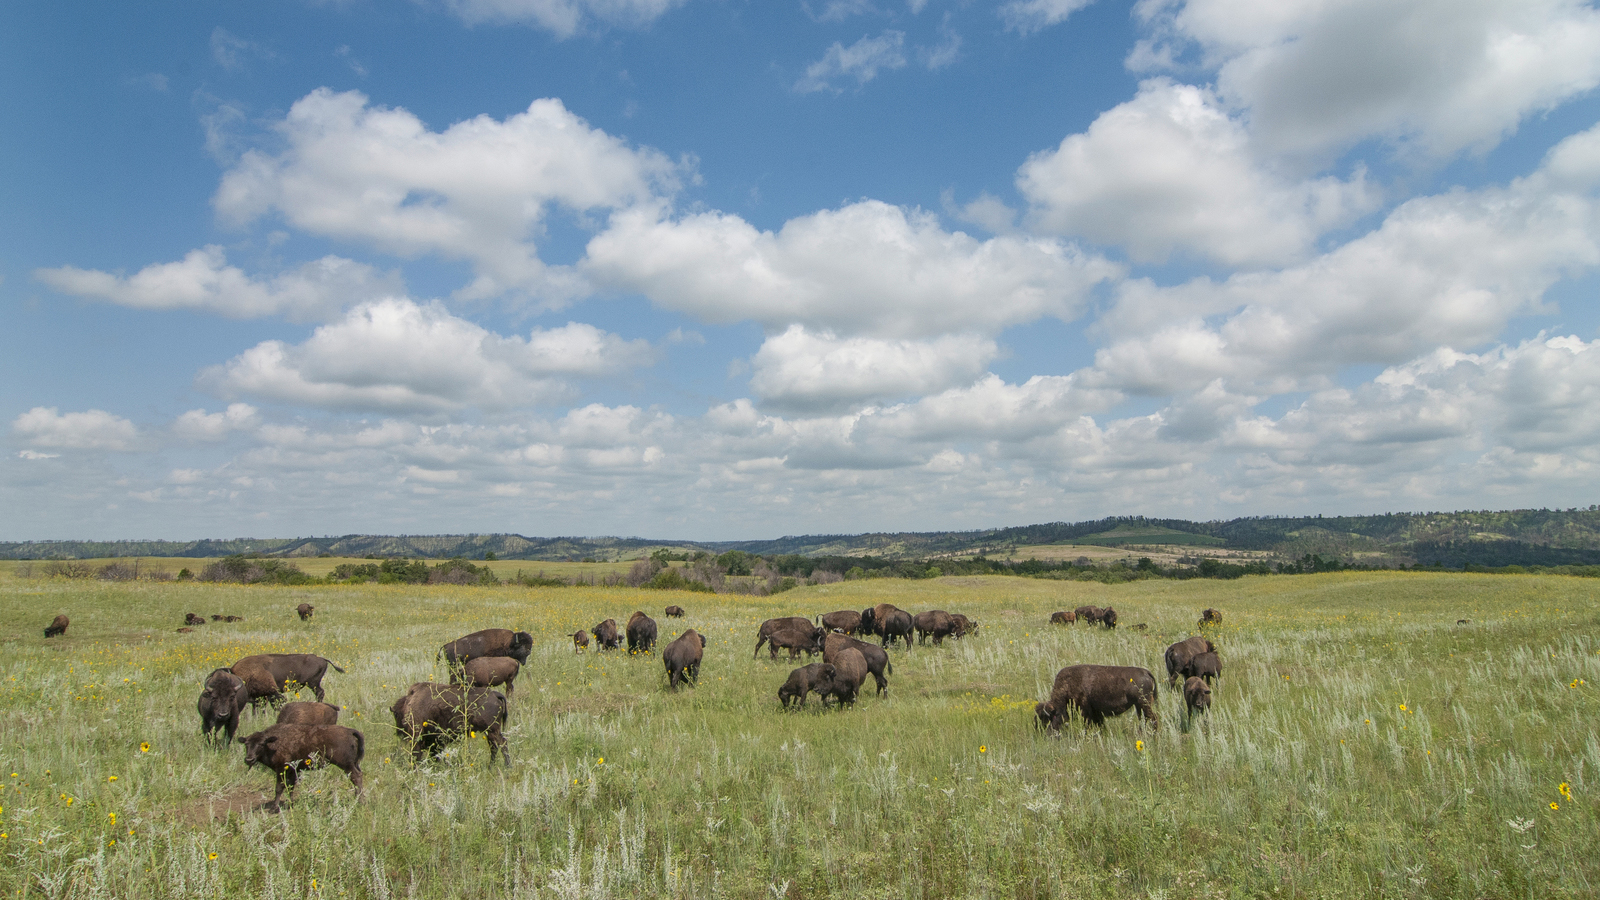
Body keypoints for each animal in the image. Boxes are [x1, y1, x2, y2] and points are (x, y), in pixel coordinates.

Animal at [236, 717, 366, 810]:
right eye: (246, 744)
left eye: (261, 744)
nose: (249, 759)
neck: (273, 743)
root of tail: (350, 731)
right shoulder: (293, 771)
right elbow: (290, 787)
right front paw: (291, 804)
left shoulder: (281, 770)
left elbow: (279, 788)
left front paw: (274, 808)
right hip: (354, 764)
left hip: (346, 765)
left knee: (356, 777)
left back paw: (359, 801)